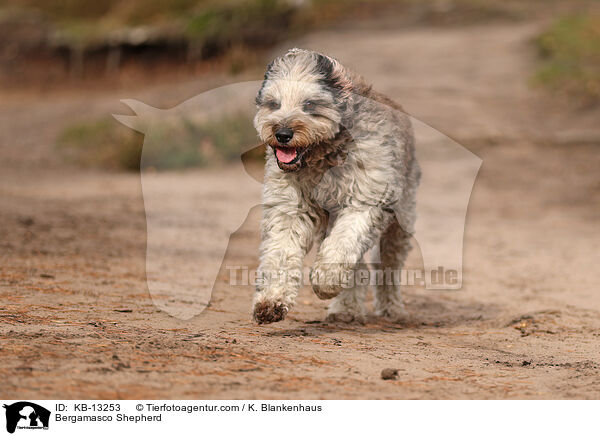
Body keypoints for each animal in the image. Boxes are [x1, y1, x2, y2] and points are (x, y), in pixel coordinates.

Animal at [251, 49, 420, 326]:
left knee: (388, 266)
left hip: (400, 221)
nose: (282, 133)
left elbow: (343, 242)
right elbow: (281, 253)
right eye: (274, 104)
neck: (325, 155)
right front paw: (271, 300)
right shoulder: (290, 209)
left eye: (310, 104)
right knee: (358, 266)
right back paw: (346, 309)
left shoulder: (366, 200)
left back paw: (392, 308)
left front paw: (325, 280)